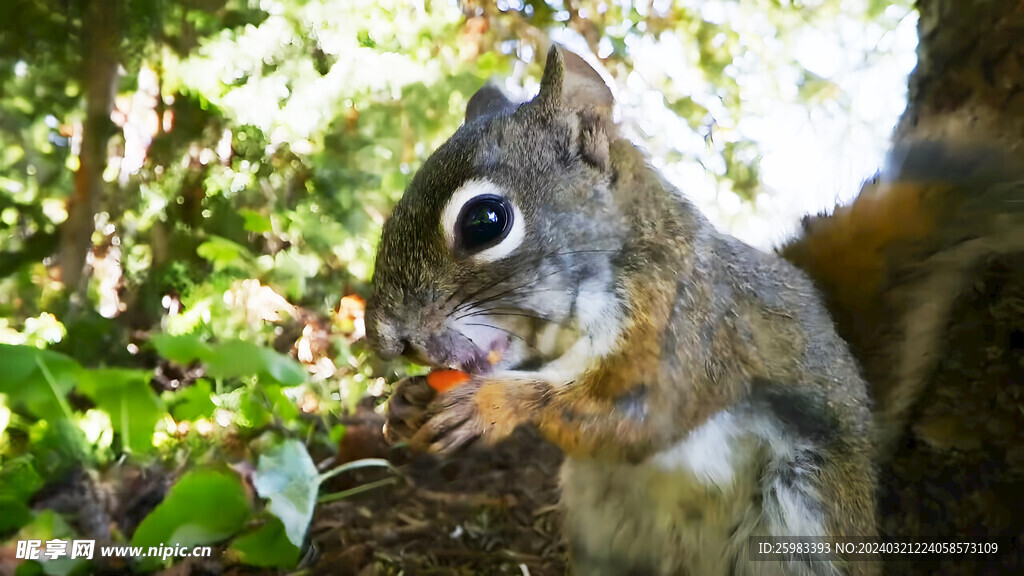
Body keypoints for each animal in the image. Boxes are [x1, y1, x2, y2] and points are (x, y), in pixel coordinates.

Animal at [368, 45, 880, 573]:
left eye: (484, 222)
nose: (386, 339)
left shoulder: (689, 332)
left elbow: (637, 422)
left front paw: (489, 404)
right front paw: (404, 401)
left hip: (804, 520)